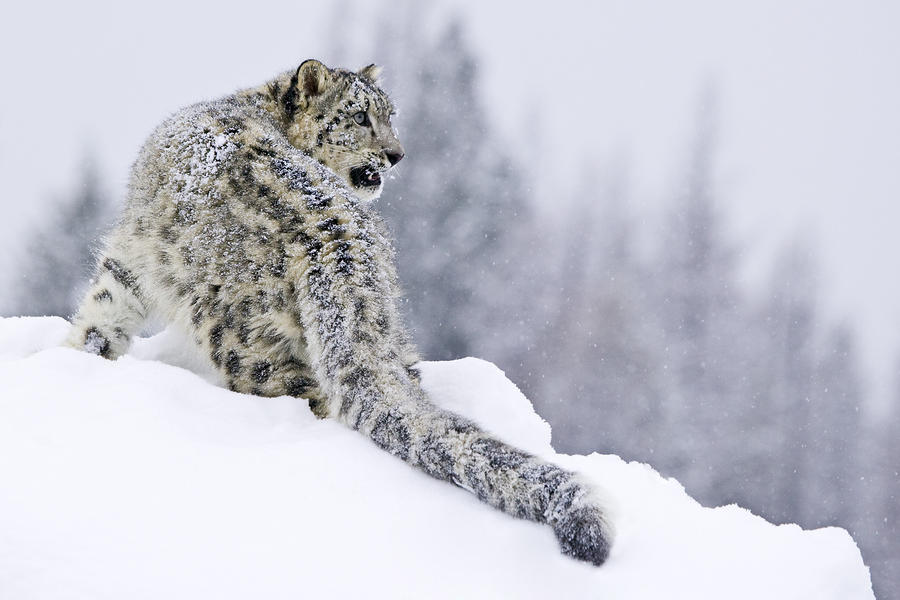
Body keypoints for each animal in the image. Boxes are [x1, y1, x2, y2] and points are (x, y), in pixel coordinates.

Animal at [63, 58, 612, 564]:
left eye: (390, 116)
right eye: (361, 116)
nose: (396, 154)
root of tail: (338, 241)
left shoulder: (135, 253)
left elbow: (105, 309)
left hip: (243, 341)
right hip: (388, 330)